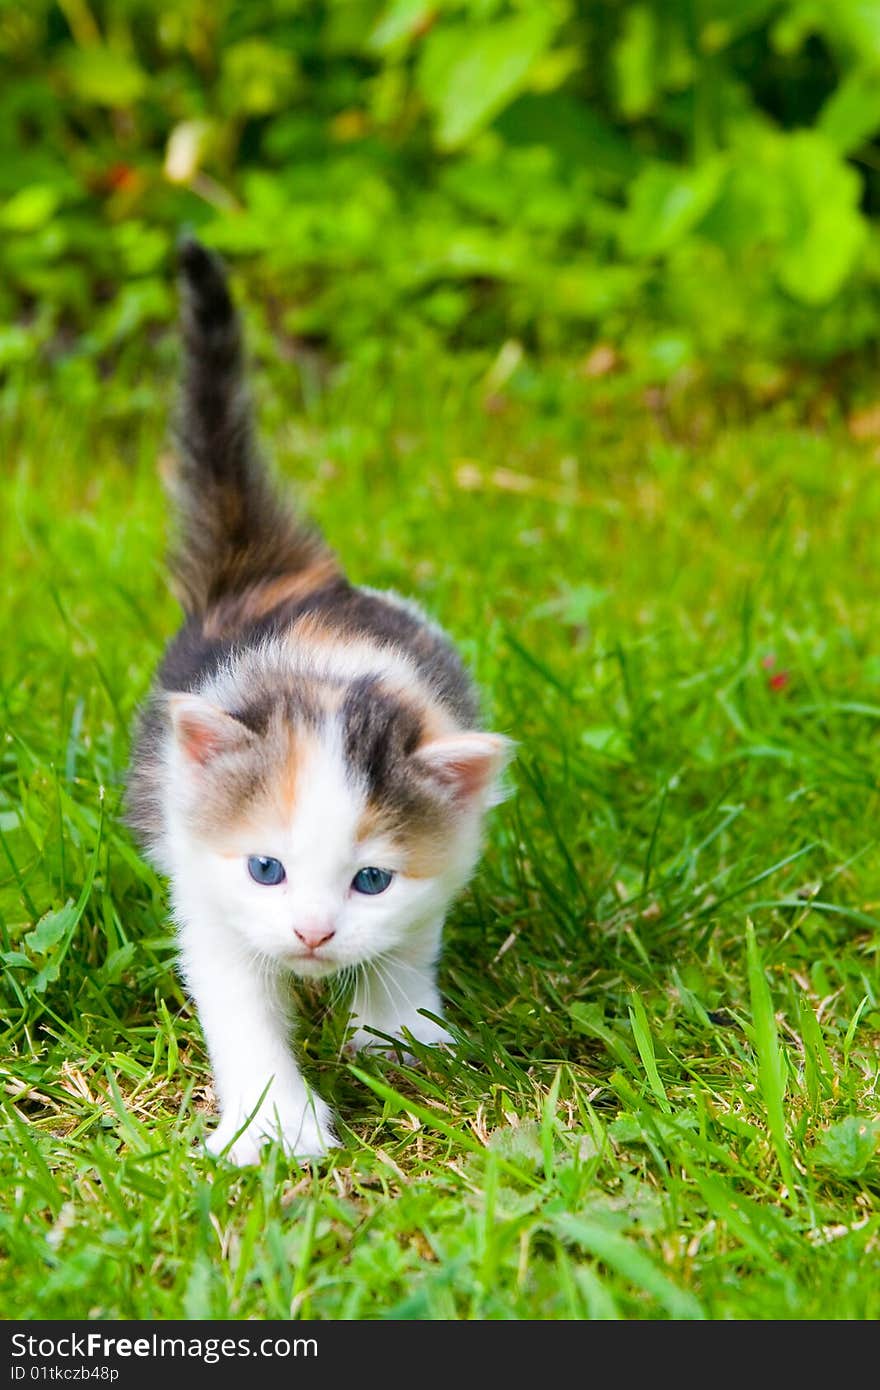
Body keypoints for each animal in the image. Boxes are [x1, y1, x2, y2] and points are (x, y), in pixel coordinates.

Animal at [127, 239, 511, 1162]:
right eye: (266, 869)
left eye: (370, 880)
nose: (312, 934)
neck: (329, 676)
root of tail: (285, 575)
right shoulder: (204, 887)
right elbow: (236, 1001)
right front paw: (274, 1126)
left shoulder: (433, 882)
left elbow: (408, 944)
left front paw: (399, 1036)